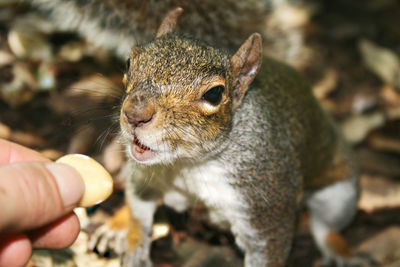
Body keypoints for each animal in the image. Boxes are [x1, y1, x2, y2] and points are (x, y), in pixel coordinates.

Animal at [114, 7, 364, 267]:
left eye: (214, 93)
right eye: (129, 62)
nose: (135, 114)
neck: (188, 164)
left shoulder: (266, 206)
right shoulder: (145, 176)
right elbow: (138, 209)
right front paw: (134, 247)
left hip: (339, 194)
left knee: (326, 227)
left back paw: (341, 251)